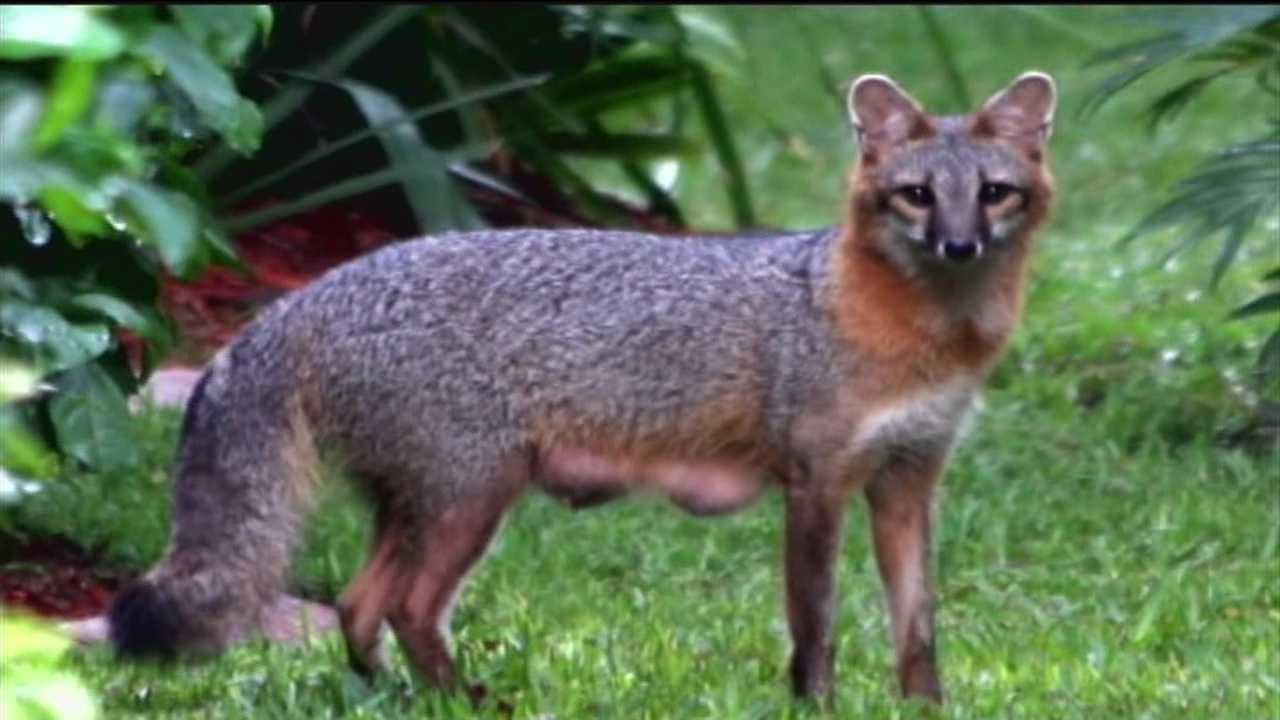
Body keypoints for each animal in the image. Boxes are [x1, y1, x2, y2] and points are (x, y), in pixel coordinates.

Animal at [108, 71, 1056, 705]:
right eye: (917, 196)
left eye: (994, 194)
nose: (960, 246)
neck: (919, 337)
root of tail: (307, 295)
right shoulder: (817, 483)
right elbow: (815, 626)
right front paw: (815, 707)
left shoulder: (908, 481)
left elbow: (917, 627)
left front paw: (925, 709)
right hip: (470, 499)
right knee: (406, 608)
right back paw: (465, 700)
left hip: (425, 506)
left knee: (356, 604)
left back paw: (399, 698)